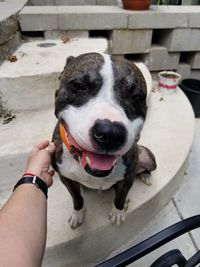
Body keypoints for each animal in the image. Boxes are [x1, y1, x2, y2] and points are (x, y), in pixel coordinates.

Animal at [51, 52, 156, 230]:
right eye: (79, 86)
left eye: (136, 97)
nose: (111, 134)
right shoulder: (66, 178)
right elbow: (77, 198)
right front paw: (78, 214)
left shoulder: (128, 178)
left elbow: (120, 197)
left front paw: (118, 212)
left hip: (148, 155)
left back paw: (145, 177)